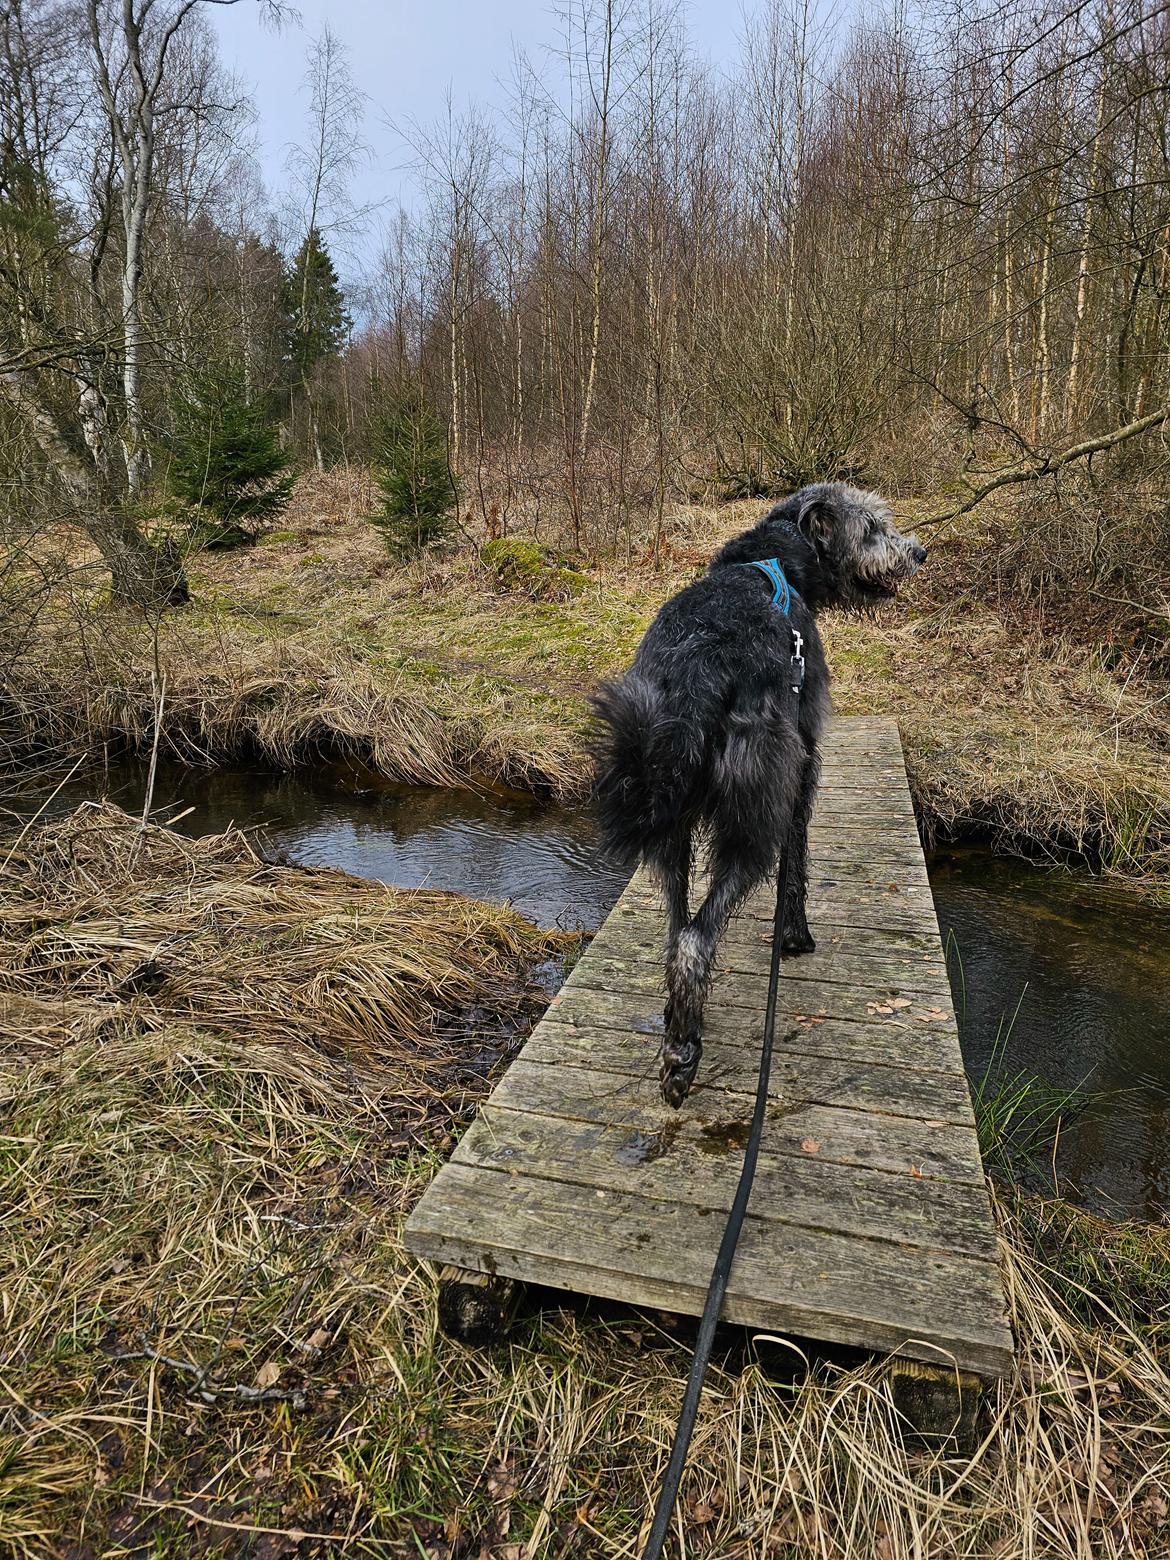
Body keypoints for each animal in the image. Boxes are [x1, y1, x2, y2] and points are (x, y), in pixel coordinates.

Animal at [599, 480, 929, 1104]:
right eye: (873, 527)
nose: (919, 553)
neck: (777, 556)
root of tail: (694, 671)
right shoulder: (804, 760)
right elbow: (797, 864)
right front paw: (794, 936)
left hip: (668, 818)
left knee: (677, 931)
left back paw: (677, 1023)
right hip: (755, 813)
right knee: (699, 936)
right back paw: (682, 1055)